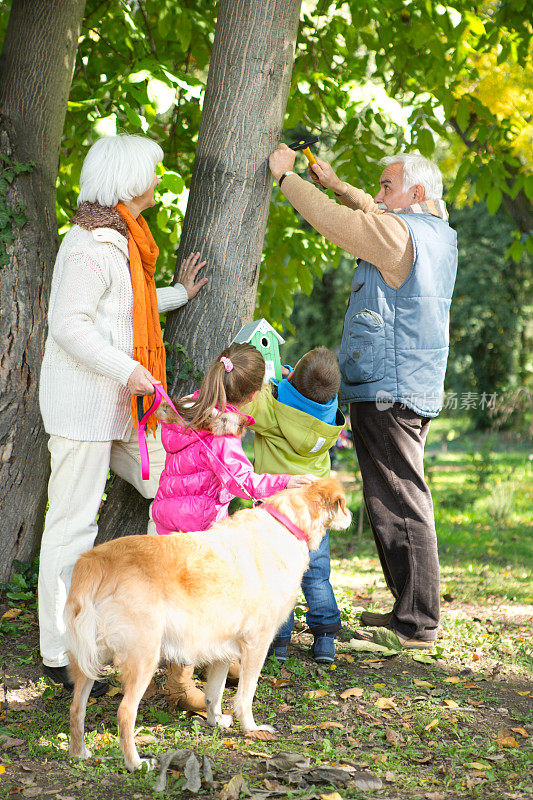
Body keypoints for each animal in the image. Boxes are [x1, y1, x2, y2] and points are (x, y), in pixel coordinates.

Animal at [64, 478, 352, 772]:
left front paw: (215, 720)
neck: (284, 524)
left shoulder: (222, 649)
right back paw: (135, 763)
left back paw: (79, 753)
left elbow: (215, 691)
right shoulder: (256, 644)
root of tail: (97, 560)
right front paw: (251, 728)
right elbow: (246, 695)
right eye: (343, 505)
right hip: (143, 658)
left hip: (88, 660)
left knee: (76, 708)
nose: (352, 515)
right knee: (124, 713)